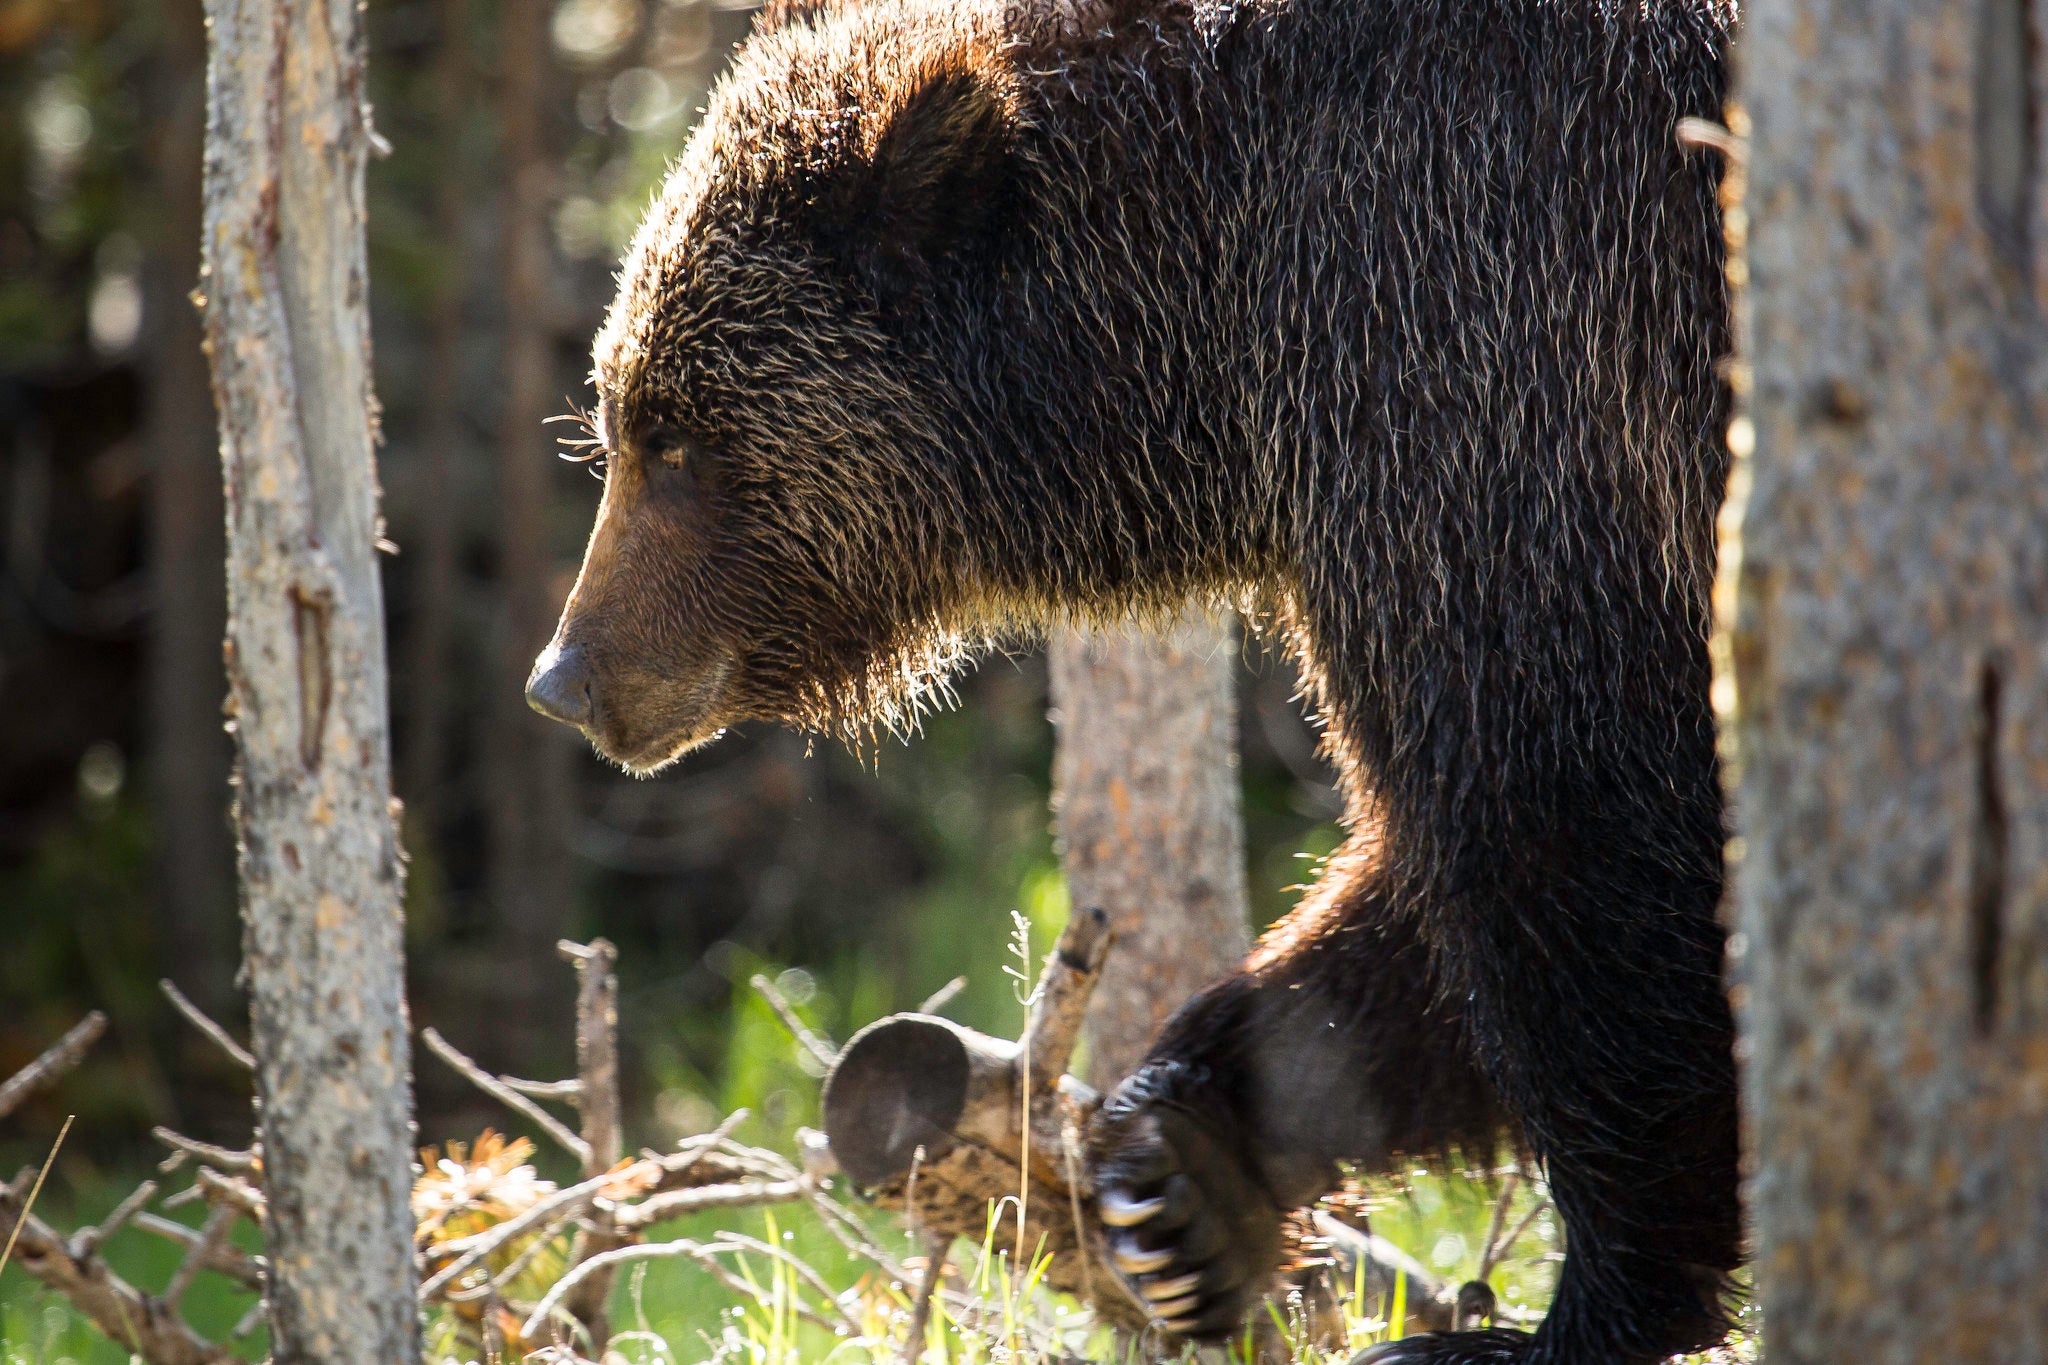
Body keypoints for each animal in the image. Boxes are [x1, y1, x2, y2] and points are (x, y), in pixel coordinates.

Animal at [524, 0, 1740, 1360]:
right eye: (615, 416)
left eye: (671, 436)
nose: (566, 677)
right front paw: (1186, 1179)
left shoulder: (1486, 359)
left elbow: (1566, 810)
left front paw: (1567, 1310)